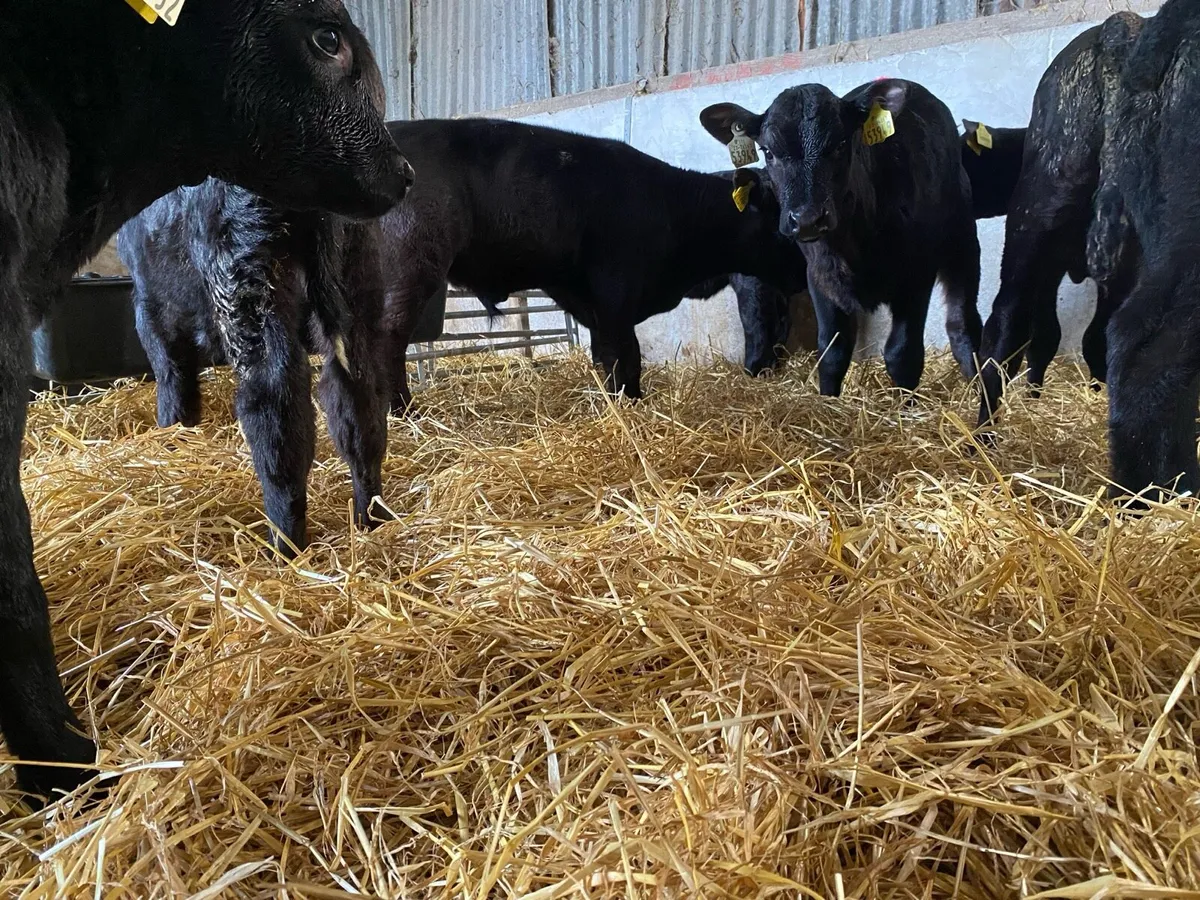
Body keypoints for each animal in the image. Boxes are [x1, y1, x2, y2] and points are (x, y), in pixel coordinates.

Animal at [119, 179, 392, 558]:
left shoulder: (152, 309)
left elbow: (173, 380)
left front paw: (171, 436)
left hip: (249, 281)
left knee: (276, 402)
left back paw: (283, 545)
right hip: (359, 284)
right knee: (360, 404)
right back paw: (371, 517)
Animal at [375, 119, 810, 408]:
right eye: (779, 218)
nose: (803, 275)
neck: (673, 208)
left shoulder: (590, 301)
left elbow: (605, 354)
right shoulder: (616, 294)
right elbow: (627, 356)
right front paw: (632, 404)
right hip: (410, 270)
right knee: (387, 342)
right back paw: (403, 410)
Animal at [700, 79, 982, 399]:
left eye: (841, 144)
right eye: (768, 151)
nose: (807, 219)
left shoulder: (917, 275)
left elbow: (903, 353)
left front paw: (906, 407)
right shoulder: (819, 277)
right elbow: (831, 352)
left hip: (963, 239)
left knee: (962, 324)